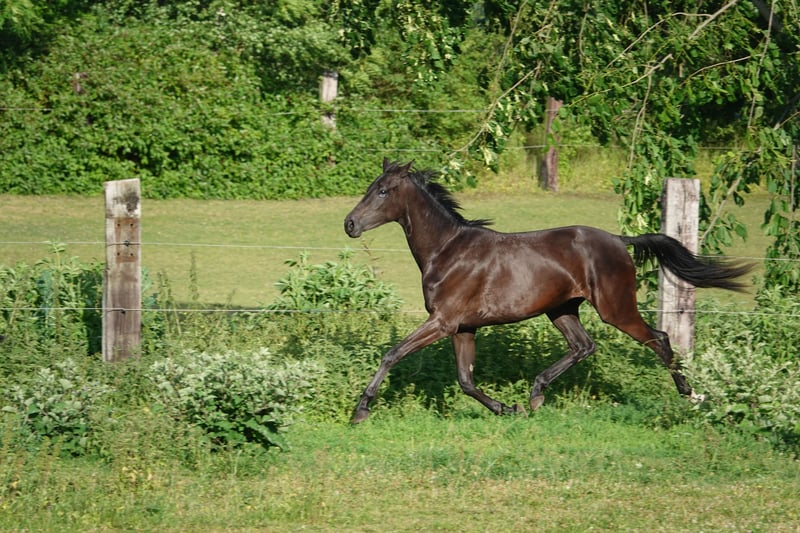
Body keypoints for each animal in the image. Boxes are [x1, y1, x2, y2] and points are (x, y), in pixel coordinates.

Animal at [343, 158, 752, 424]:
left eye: (383, 191)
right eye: (369, 189)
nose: (349, 224)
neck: (447, 251)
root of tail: (620, 240)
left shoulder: (443, 321)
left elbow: (392, 354)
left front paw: (361, 410)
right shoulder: (463, 327)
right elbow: (466, 380)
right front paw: (507, 408)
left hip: (615, 308)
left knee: (660, 339)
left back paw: (692, 395)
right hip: (562, 309)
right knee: (584, 346)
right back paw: (536, 393)